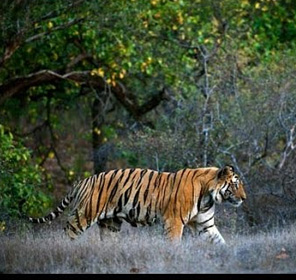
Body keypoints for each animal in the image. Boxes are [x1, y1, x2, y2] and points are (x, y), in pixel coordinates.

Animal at [26, 165, 246, 244]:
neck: (208, 196)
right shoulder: (174, 221)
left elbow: (219, 242)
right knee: (68, 231)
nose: (244, 198)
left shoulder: (205, 224)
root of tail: (82, 181)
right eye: (235, 185)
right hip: (84, 214)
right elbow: (174, 243)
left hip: (111, 224)